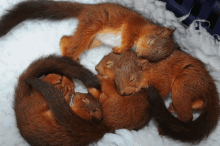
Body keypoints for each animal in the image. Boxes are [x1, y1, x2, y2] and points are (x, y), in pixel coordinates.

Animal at [0, 0, 175, 61]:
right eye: (151, 41)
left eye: (151, 57)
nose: (139, 54)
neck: (145, 27)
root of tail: (87, 8)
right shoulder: (132, 26)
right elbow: (127, 39)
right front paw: (120, 49)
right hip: (91, 26)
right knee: (73, 45)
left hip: (95, 40)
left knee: (66, 39)